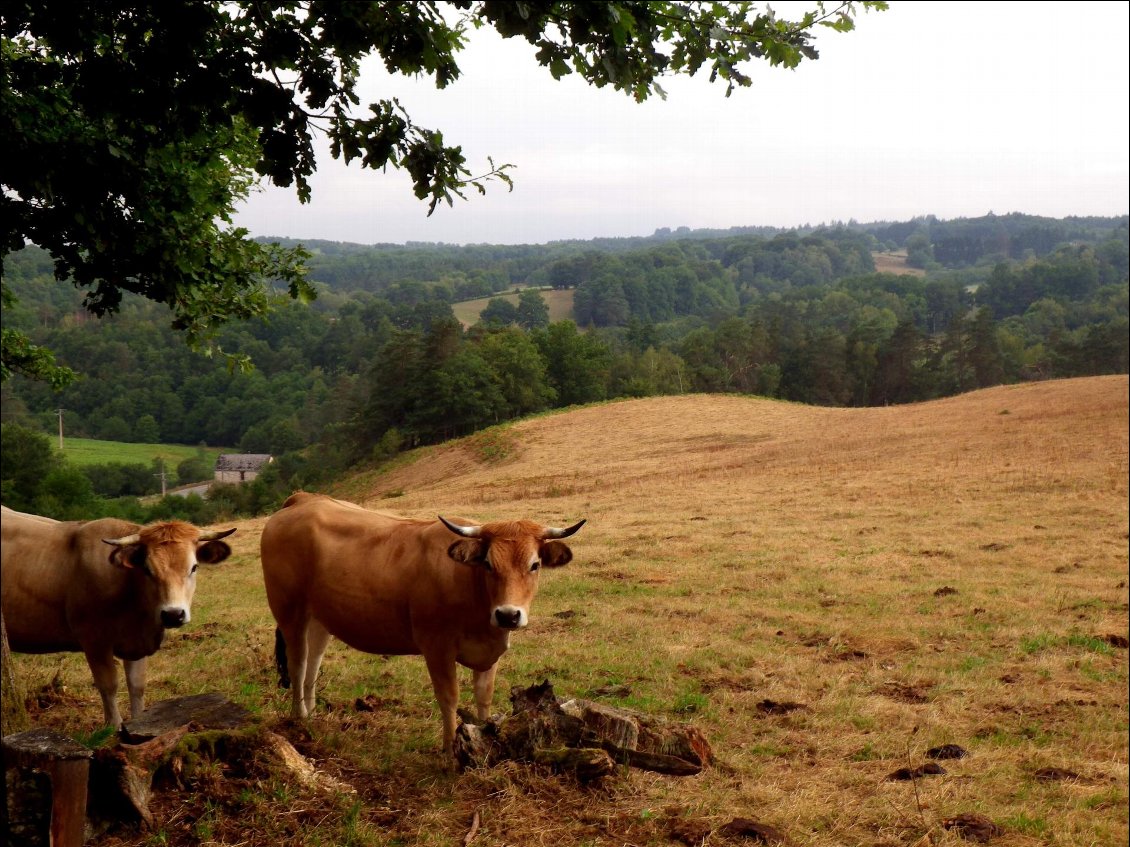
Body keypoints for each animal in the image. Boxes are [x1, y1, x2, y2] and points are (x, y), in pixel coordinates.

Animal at [0, 503, 233, 731]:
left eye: (194, 567)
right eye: (147, 569)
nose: (173, 614)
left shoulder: (136, 642)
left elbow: (137, 685)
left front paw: (140, 722)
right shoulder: (94, 641)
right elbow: (108, 684)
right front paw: (113, 726)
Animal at [261, 490, 587, 763]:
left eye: (534, 565)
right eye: (488, 564)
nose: (508, 615)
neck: (470, 585)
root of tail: (303, 500)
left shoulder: (490, 651)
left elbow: (484, 696)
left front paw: (486, 741)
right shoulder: (437, 647)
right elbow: (449, 697)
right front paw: (450, 752)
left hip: (320, 617)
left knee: (313, 663)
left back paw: (311, 716)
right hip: (289, 609)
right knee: (298, 663)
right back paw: (297, 719)